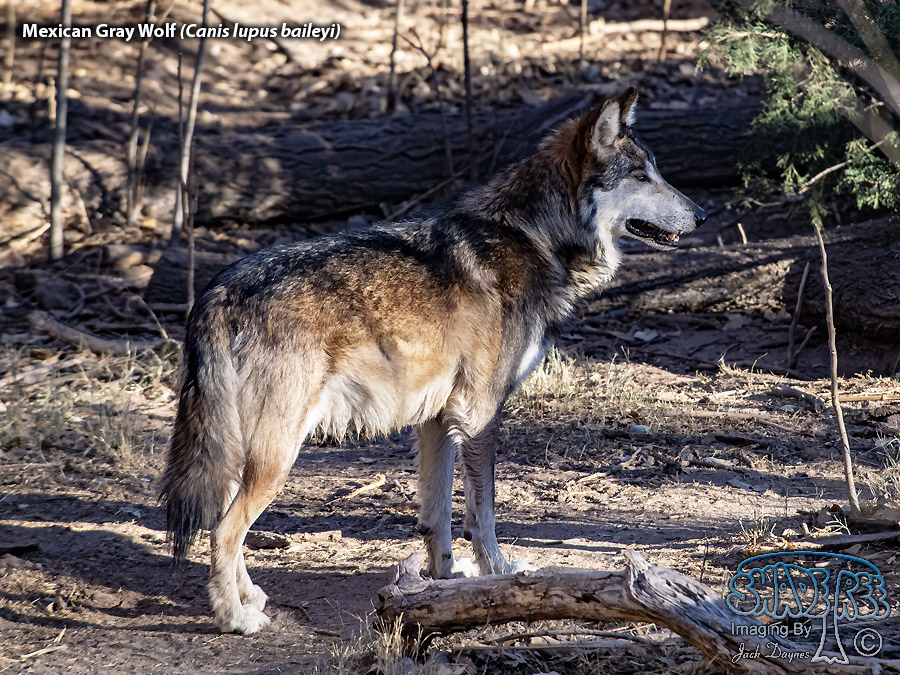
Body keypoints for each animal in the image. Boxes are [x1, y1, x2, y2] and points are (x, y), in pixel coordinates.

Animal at [159, 89, 707, 634]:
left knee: (224, 524)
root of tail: (217, 291)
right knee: (223, 531)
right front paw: (500, 575)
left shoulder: (439, 418)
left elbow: (436, 516)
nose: (702, 214)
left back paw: (249, 596)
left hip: (246, 452)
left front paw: (442, 583)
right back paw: (235, 617)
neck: (534, 237)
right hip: (278, 454)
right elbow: (482, 515)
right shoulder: (480, 413)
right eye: (642, 177)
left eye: (657, 172)